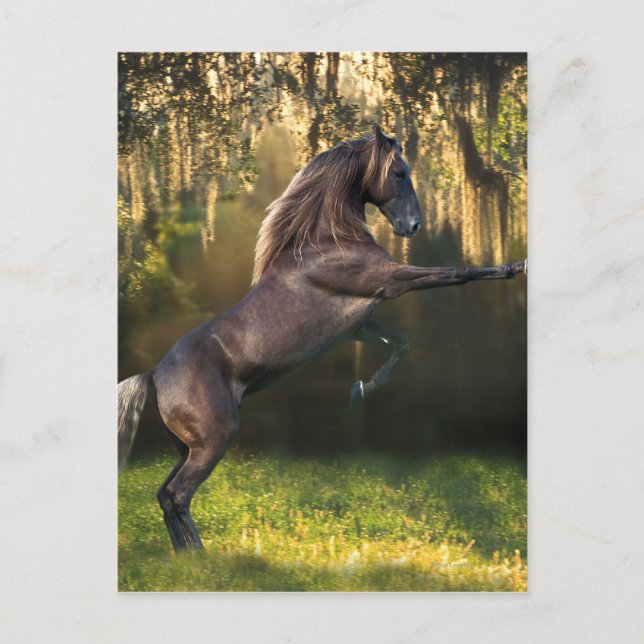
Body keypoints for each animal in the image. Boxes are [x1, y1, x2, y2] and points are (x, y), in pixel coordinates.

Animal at [118, 126, 527, 552]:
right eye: (399, 172)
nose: (413, 226)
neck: (328, 241)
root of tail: (154, 375)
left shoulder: (359, 324)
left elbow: (401, 342)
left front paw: (360, 390)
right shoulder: (393, 281)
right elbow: (458, 273)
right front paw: (516, 266)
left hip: (187, 447)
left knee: (164, 495)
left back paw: (186, 557)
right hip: (213, 440)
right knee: (178, 494)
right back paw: (200, 556)